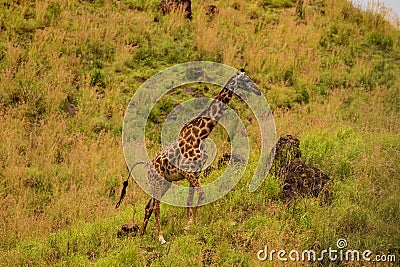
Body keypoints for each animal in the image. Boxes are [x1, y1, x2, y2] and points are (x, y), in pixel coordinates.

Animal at [115, 71, 262, 245]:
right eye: (246, 80)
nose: (258, 91)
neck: (201, 135)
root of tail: (147, 165)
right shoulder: (188, 172)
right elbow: (201, 195)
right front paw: (192, 224)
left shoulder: (195, 173)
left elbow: (189, 199)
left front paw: (188, 226)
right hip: (157, 182)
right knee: (156, 207)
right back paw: (161, 238)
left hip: (164, 183)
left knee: (148, 206)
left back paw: (141, 235)